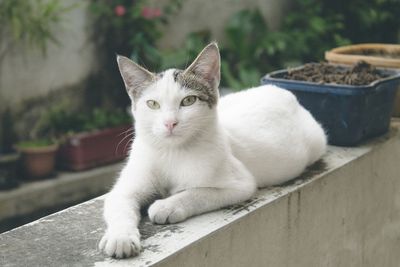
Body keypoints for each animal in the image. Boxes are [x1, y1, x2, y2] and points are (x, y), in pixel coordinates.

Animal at [98, 43, 326, 258]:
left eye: (188, 101)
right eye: (152, 104)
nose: (170, 123)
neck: (172, 152)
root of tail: (281, 90)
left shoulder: (240, 184)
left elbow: (199, 192)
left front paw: (167, 205)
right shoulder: (125, 189)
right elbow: (119, 204)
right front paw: (120, 238)